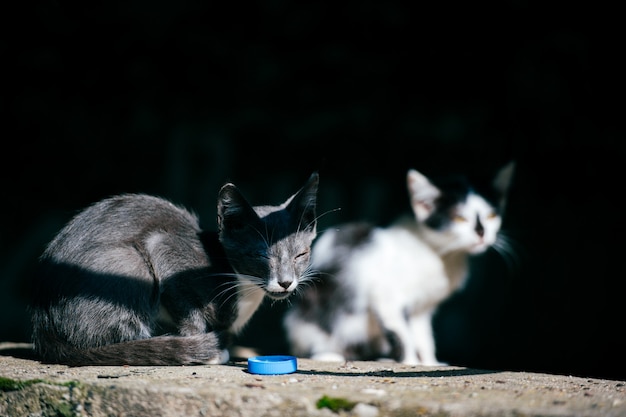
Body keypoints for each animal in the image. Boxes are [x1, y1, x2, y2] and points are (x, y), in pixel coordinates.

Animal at [29, 172, 320, 364]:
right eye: (259, 255)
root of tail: (43, 322)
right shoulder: (164, 248)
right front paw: (207, 349)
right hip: (128, 263)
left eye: (301, 254)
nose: (285, 282)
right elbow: (188, 311)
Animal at [282, 162, 512, 364]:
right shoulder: (385, 295)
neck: (440, 255)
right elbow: (403, 333)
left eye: (492, 216)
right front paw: (410, 362)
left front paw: (429, 364)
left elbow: (424, 336)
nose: (481, 233)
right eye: (459, 218)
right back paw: (329, 354)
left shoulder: (422, 308)